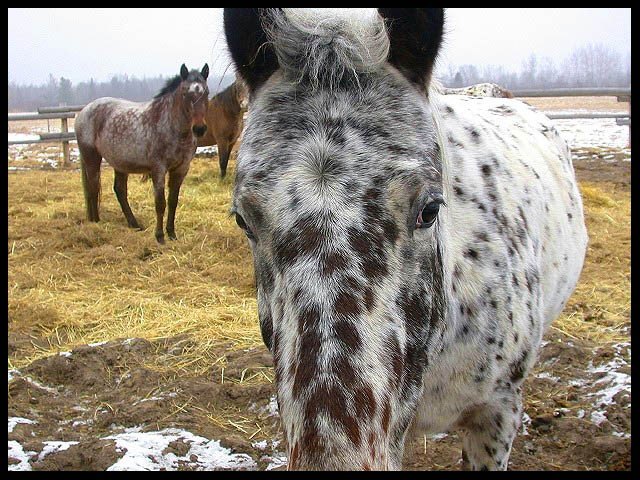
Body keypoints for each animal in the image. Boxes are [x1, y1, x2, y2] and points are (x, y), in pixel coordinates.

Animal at [74, 64, 210, 244]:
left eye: (206, 93)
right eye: (185, 93)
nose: (199, 128)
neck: (171, 126)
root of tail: (83, 111)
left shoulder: (181, 169)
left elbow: (173, 202)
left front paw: (172, 234)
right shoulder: (158, 169)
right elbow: (160, 203)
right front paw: (159, 236)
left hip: (120, 163)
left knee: (120, 191)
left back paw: (134, 224)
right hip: (92, 158)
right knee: (93, 189)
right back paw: (96, 222)